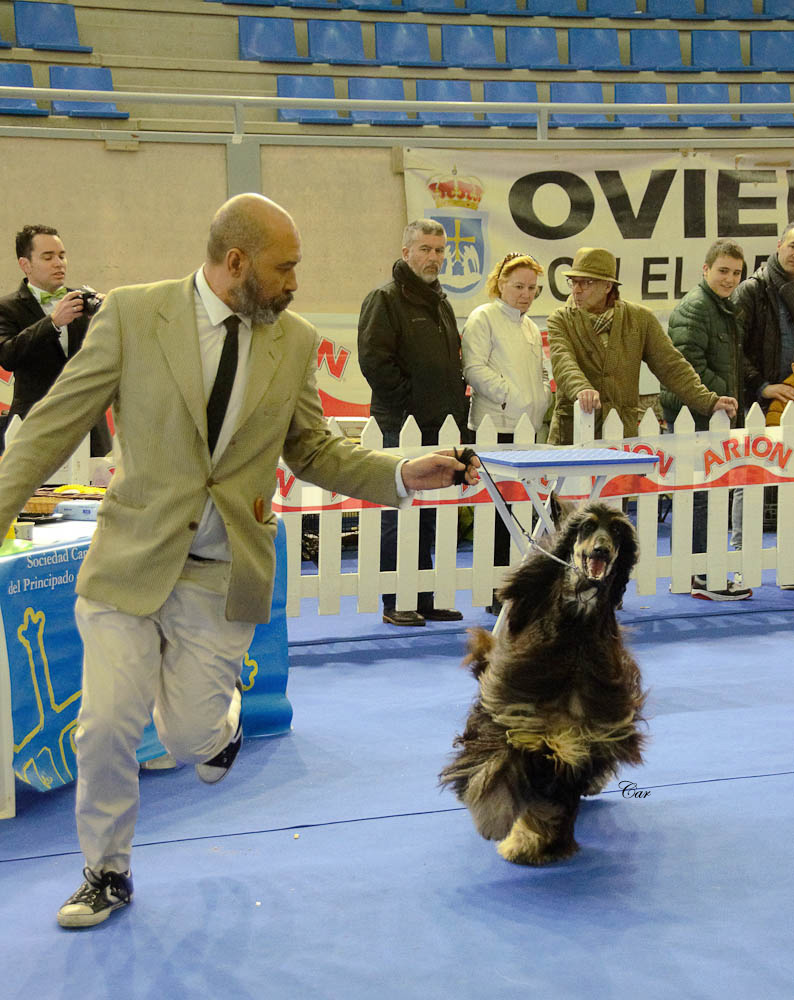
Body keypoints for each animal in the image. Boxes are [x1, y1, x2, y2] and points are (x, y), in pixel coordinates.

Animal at [439, 498, 646, 866]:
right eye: (588, 527)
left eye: (617, 531)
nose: (602, 550)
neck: (575, 629)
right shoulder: (512, 712)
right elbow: (497, 768)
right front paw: (497, 822)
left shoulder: (585, 734)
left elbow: (557, 797)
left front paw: (536, 842)